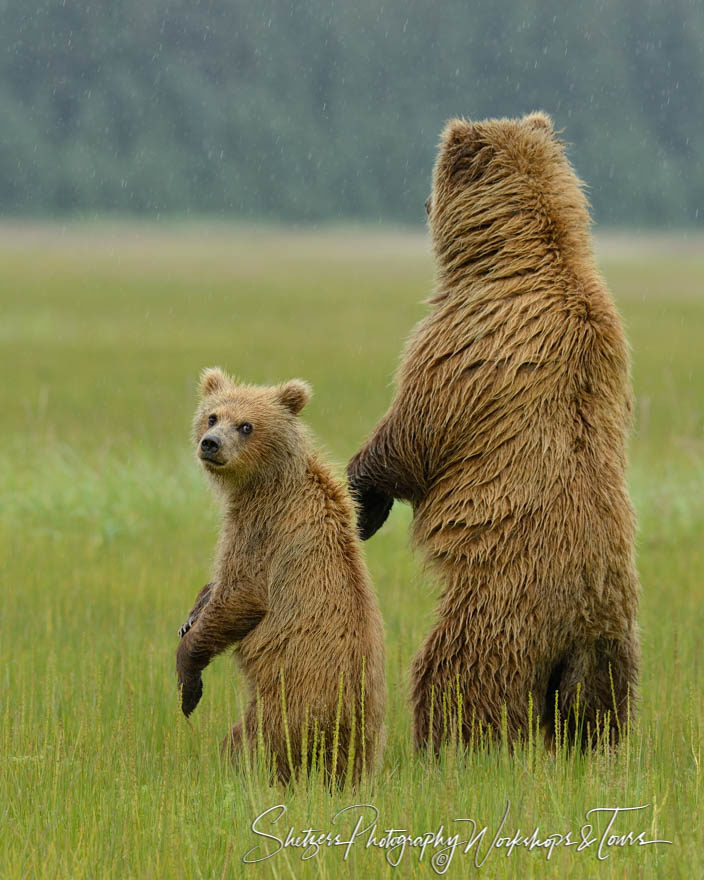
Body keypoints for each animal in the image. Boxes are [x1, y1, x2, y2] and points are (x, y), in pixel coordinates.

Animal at [176, 366, 384, 784]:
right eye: (212, 416)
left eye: (246, 426)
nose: (210, 444)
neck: (265, 479)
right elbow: (218, 589)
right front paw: (192, 614)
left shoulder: (262, 527)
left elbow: (241, 594)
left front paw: (188, 677)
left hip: (290, 701)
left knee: (251, 742)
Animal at [346, 113, 640, 752]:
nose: (421, 200)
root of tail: (582, 619)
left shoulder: (467, 341)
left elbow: (416, 428)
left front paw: (364, 494)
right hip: (613, 649)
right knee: (600, 714)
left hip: (500, 608)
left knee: (458, 675)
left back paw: (450, 744)